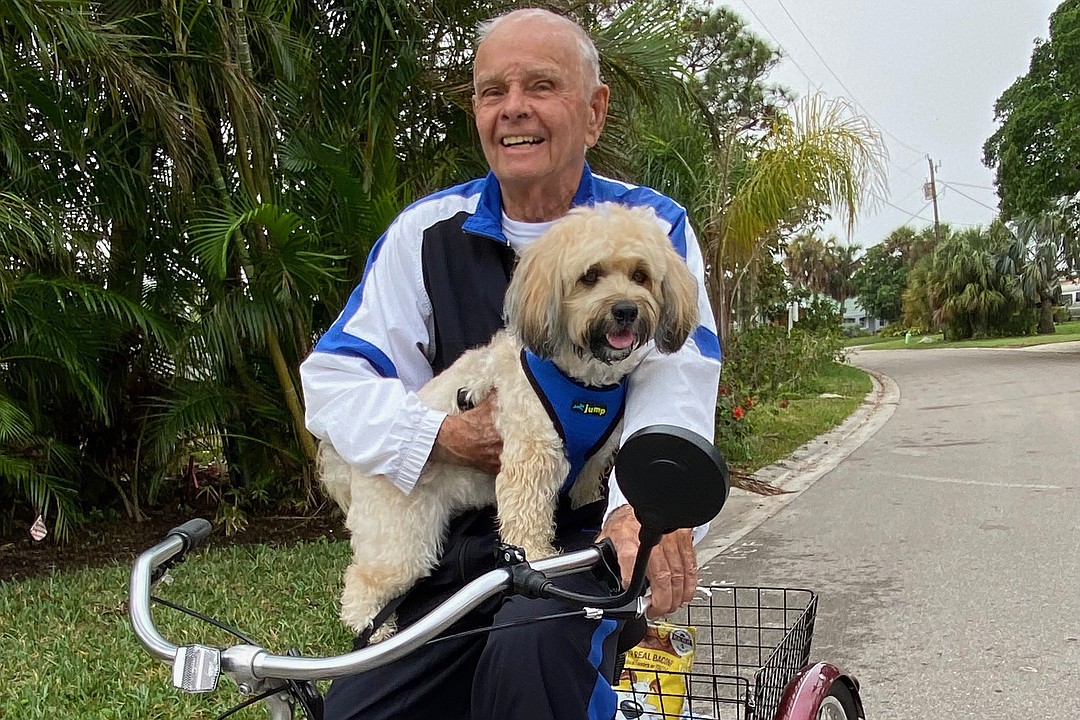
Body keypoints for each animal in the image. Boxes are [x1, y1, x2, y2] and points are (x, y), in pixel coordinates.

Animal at [315, 202, 699, 634]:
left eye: (640, 275)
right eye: (590, 276)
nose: (626, 310)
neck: (582, 381)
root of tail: (351, 464)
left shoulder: (590, 465)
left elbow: (587, 491)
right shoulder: (531, 456)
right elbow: (527, 520)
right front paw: (539, 557)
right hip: (401, 541)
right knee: (361, 584)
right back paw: (375, 629)